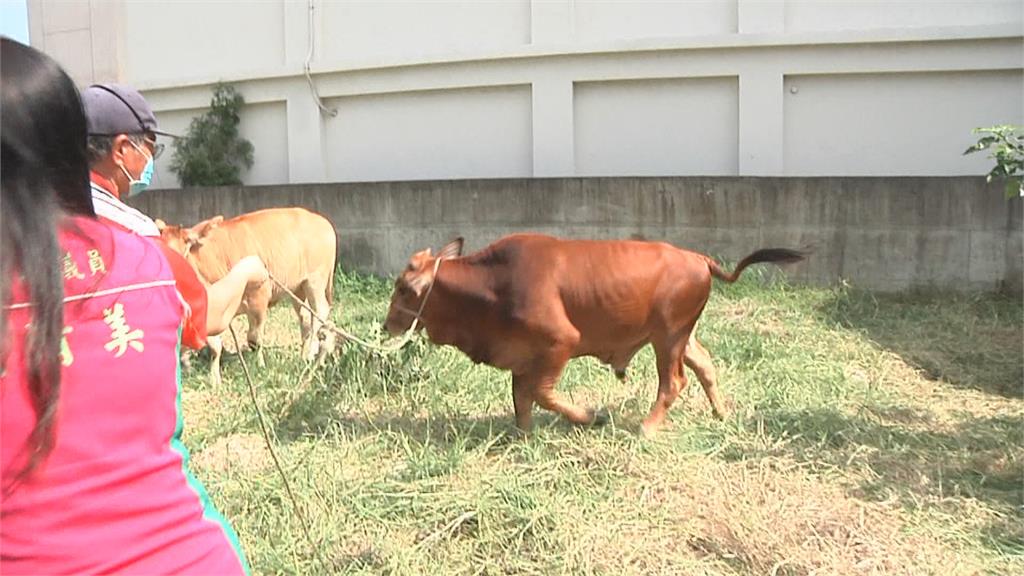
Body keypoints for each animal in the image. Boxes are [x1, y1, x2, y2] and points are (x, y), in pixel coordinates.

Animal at [157, 203, 337, 383]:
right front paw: (213, 378)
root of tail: (322, 221)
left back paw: (312, 353)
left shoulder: (260, 297)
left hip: (315, 280)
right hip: (298, 288)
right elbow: (214, 345)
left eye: (184, 248)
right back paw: (303, 356)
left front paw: (260, 367)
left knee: (320, 312)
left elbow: (254, 339)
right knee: (306, 318)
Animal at [385, 230, 806, 432]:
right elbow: (522, 399)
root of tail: (698, 259)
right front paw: (523, 435)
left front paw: (590, 417)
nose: (388, 324)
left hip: (668, 337)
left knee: (673, 382)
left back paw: (647, 428)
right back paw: (721, 414)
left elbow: (542, 395)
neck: (493, 283)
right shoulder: (523, 357)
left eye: (403, 288)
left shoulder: (559, 344)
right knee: (705, 366)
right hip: (679, 336)